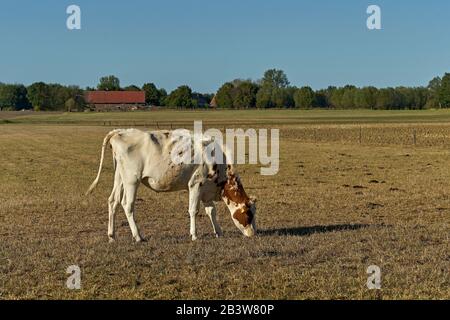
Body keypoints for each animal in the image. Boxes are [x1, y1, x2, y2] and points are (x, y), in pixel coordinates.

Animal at [85, 129, 256, 241]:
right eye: (248, 214)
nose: (253, 233)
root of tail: (120, 132)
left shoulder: (207, 189)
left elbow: (211, 211)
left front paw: (218, 232)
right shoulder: (196, 184)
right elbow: (193, 210)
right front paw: (194, 234)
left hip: (119, 177)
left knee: (113, 201)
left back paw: (112, 235)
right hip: (131, 180)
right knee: (127, 205)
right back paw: (138, 236)